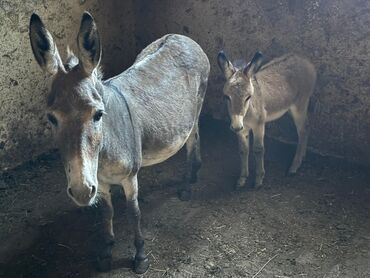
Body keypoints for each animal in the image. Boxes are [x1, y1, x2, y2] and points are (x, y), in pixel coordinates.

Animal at [218, 51, 316, 188]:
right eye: (227, 97)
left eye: (248, 97)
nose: (236, 126)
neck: (247, 114)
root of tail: (304, 59)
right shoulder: (242, 130)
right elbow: (243, 150)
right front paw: (242, 179)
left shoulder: (259, 125)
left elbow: (258, 150)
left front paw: (258, 180)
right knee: (306, 128)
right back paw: (302, 157)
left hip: (300, 105)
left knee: (303, 130)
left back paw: (294, 167)